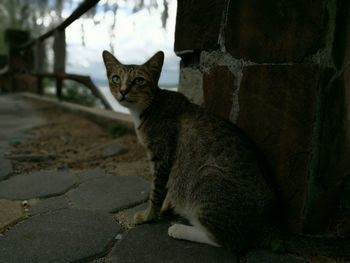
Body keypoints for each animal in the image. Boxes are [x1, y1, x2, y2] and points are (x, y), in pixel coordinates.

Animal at [102, 50, 350, 256]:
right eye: (116, 78)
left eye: (139, 80)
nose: (122, 91)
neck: (149, 107)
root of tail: (270, 226)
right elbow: (166, 190)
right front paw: (165, 207)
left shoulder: (162, 156)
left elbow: (156, 190)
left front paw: (148, 215)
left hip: (207, 178)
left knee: (230, 242)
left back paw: (181, 229)